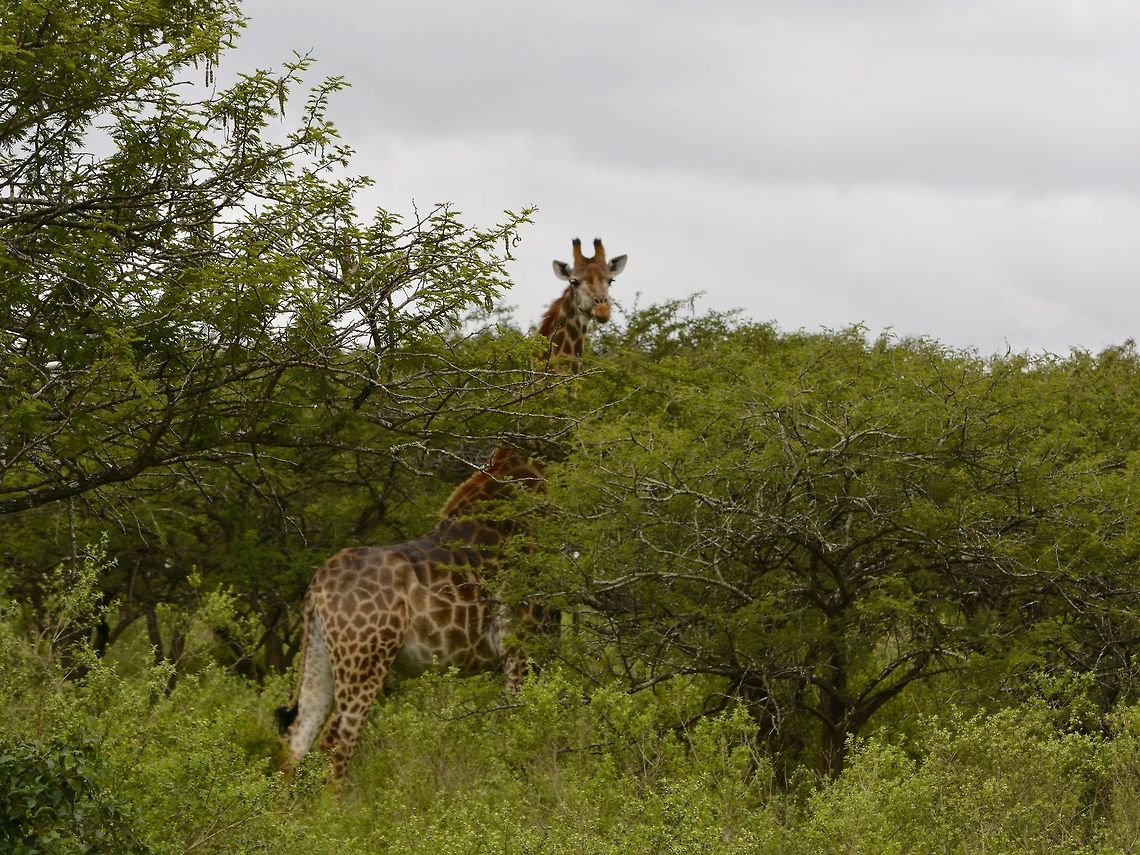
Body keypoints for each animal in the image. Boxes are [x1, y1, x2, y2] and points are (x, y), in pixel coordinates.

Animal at [275, 447, 547, 783]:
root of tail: (317, 586)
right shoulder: (521, 647)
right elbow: (519, 722)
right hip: (367, 661)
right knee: (336, 741)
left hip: (320, 655)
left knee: (296, 740)